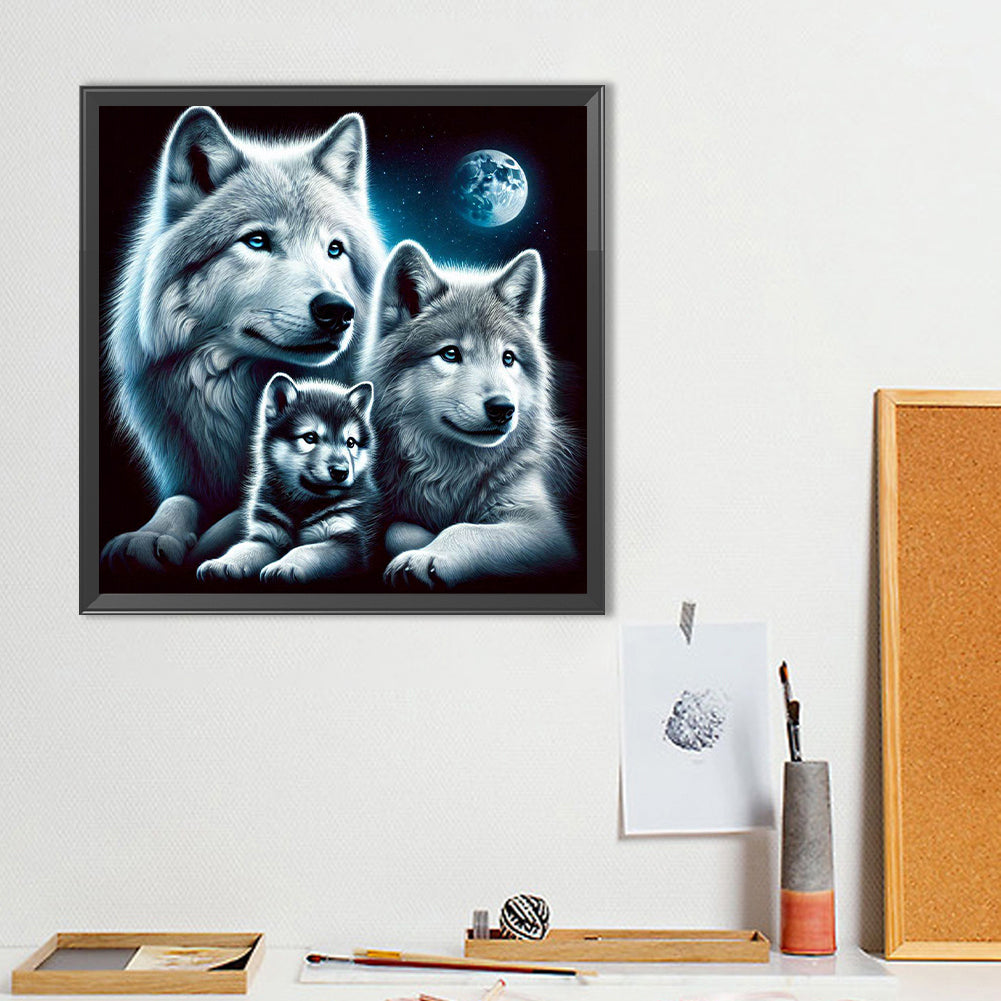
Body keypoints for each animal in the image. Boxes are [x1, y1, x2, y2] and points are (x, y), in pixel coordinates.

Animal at [197, 374, 378, 584]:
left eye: (350, 442)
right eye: (310, 437)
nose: (341, 471)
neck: (301, 505)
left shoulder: (348, 544)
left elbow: (306, 550)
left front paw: (284, 566)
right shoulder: (267, 537)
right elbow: (242, 549)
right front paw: (222, 563)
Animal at [366, 240, 577, 589]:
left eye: (508, 358)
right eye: (450, 354)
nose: (503, 408)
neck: (453, 472)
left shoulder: (548, 532)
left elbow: (464, 529)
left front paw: (425, 556)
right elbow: (395, 530)